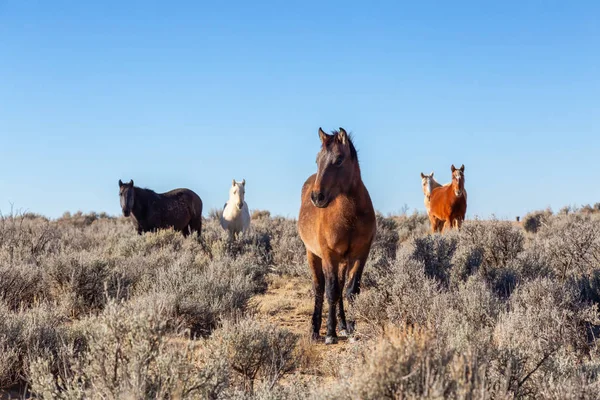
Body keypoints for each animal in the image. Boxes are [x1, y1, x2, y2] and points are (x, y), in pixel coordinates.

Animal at [298, 127, 378, 344]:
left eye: (339, 159)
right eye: (317, 160)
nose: (317, 197)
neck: (350, 215)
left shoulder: (360, 254)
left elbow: (351, 291)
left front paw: (351, 329)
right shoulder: (329, 255)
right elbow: (331, 291)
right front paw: (330, 333)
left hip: (342, 261)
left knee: (341, 288)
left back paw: (342, 325)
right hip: (313, 255)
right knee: (319, 288)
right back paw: (315, 329)